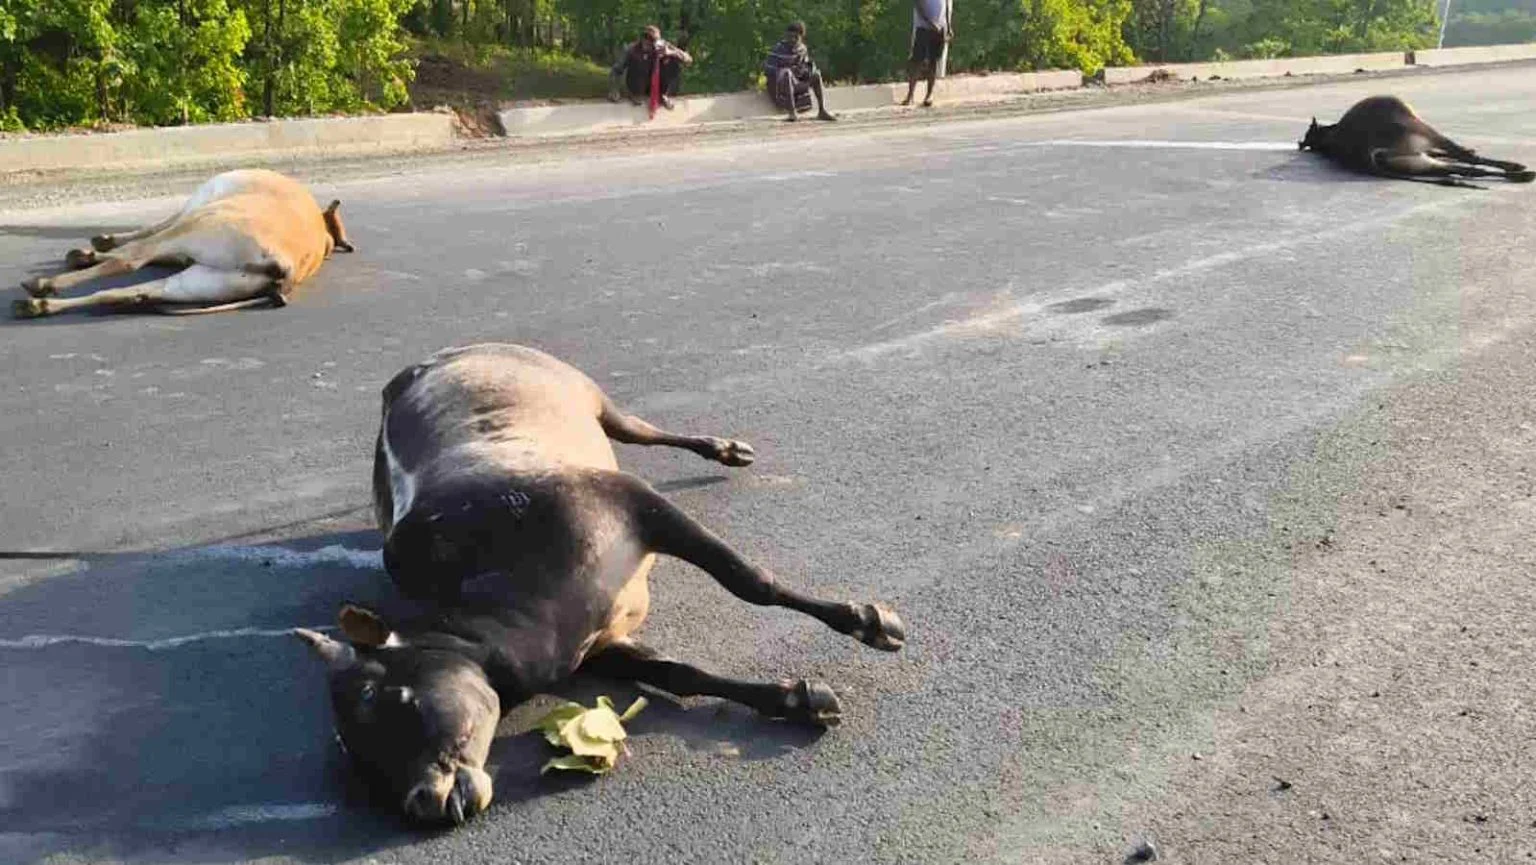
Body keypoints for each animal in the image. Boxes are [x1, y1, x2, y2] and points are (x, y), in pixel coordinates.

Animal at [13, 169, 354, 319]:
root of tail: (286, 266)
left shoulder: (189, 214)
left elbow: (144, 234)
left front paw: (96, 246)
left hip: (198, 225)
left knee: (131, 259)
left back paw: (43, 285)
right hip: (203, 280)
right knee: (124, 291)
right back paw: (37, 305)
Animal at [296, 344, 906, 826]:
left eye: (389, 698)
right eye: (352, 752)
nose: (422, 802)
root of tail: (424, 364)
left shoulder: (631, 502)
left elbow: (752, 581)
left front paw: (867, 621)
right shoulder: (599, 644)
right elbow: (679, 674)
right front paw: (796, 699)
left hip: (586, 394)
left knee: (644, 428)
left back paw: (725, 449)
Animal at [1300, 95, 1535, 185]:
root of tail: (1363, 150)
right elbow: (1461, 154)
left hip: (1415, 162)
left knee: (1465, 168)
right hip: (1418, 128)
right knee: (1466, 159)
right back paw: (1518, 170)